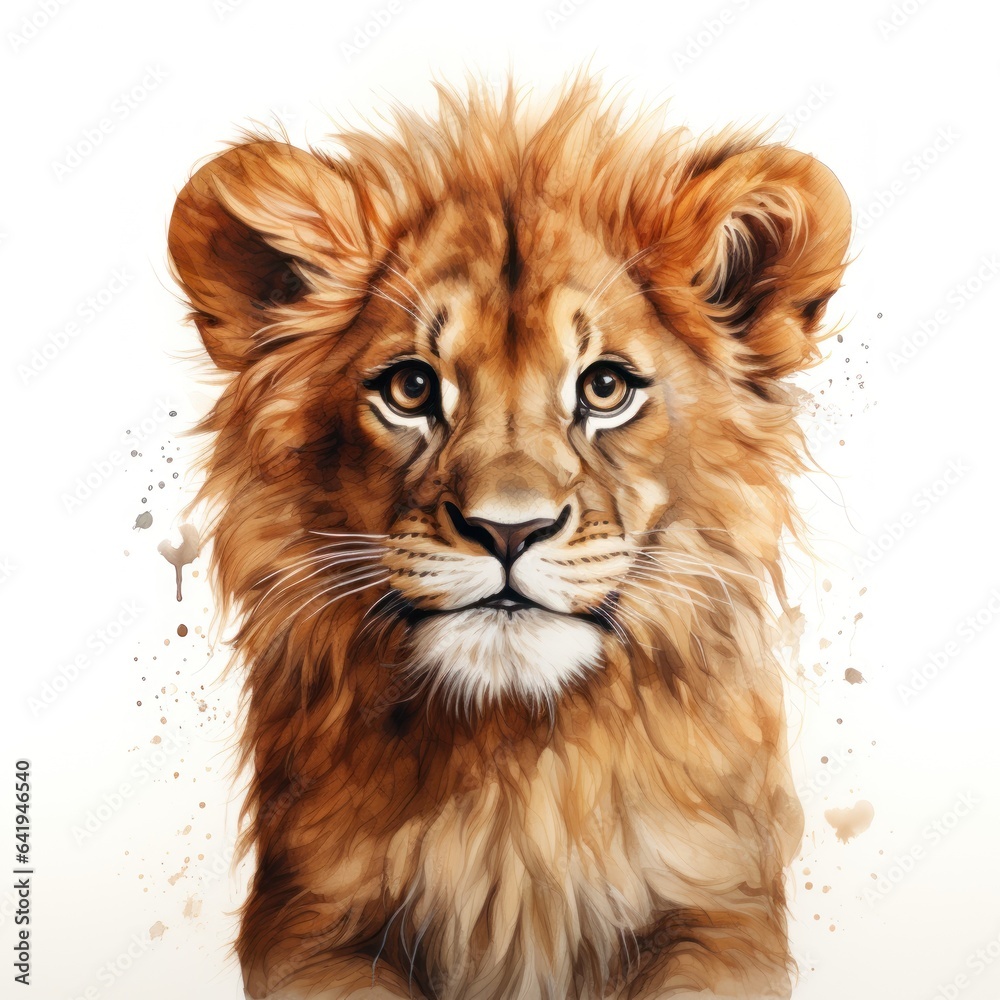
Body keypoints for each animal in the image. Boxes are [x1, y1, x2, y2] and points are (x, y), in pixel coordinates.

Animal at [167, 79, 851, 1000]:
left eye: (605, 388)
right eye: (411, 388)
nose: (508, 529)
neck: (516, 766)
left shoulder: (720, 910)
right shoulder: (309, 921)